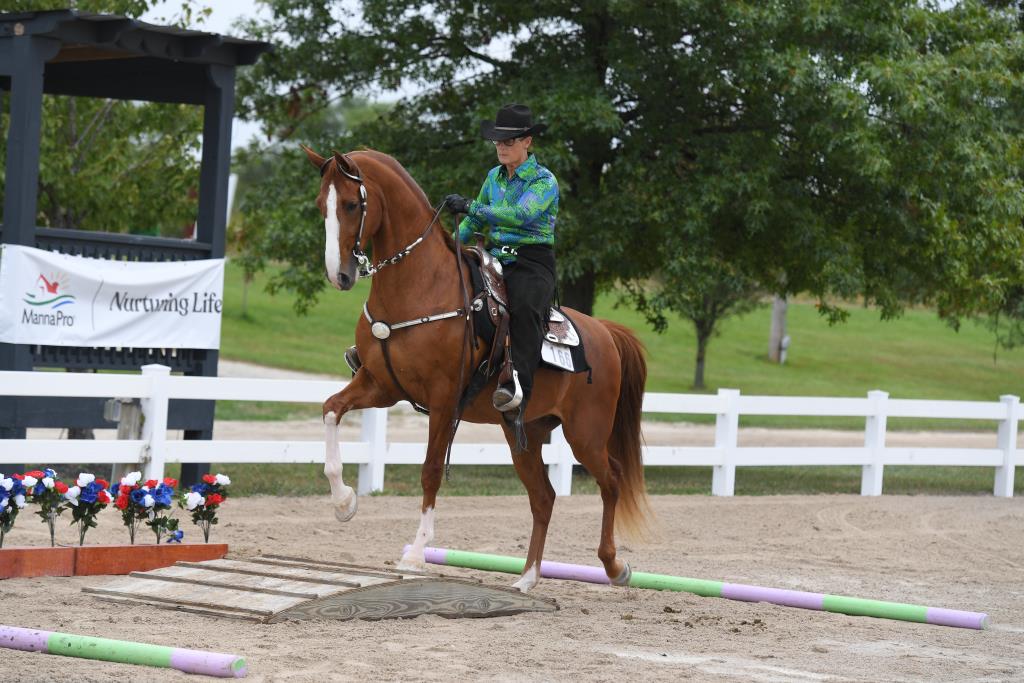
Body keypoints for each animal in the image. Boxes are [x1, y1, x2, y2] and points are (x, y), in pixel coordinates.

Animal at [303, 146, 651, 592]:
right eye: (320, 206)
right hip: (524, 432)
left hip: (586, 434)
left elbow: (431, 471)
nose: (339, 274)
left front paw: (416, 554)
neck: (420, 286)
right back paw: (527, 579)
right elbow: (331, 409)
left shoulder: (442, 399)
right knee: (544, 497)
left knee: (612, 479)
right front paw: (345, 502)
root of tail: (604, 331)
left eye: (349, 204)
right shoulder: (380, 385)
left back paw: (614, 566)